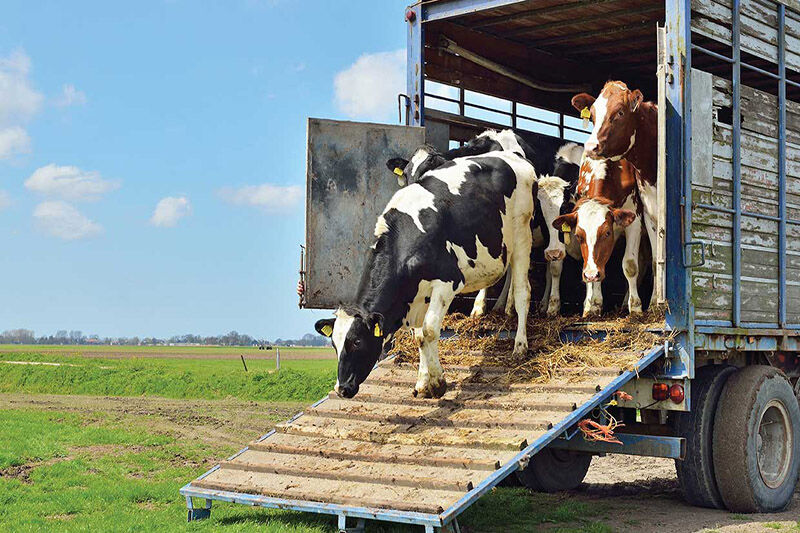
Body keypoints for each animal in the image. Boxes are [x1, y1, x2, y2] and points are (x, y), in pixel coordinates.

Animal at [314, 148, 536, 396]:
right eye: (334, 344)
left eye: (357, 341)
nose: (342, 388)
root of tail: (513, 156)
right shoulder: (418, 295)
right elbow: (419, 336)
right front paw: (422, 382)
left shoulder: (447, 281)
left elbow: (429, 330)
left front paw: (438, 382)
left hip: (522, 235)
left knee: (523, 292)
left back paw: (520, 346)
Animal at [572, 80, 660, 304]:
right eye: (593, 115)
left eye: (620, 112)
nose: (591, 147)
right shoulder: (649, 213)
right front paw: (592, 303)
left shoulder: (636, 217)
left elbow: (630, 264)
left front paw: (639, 306)